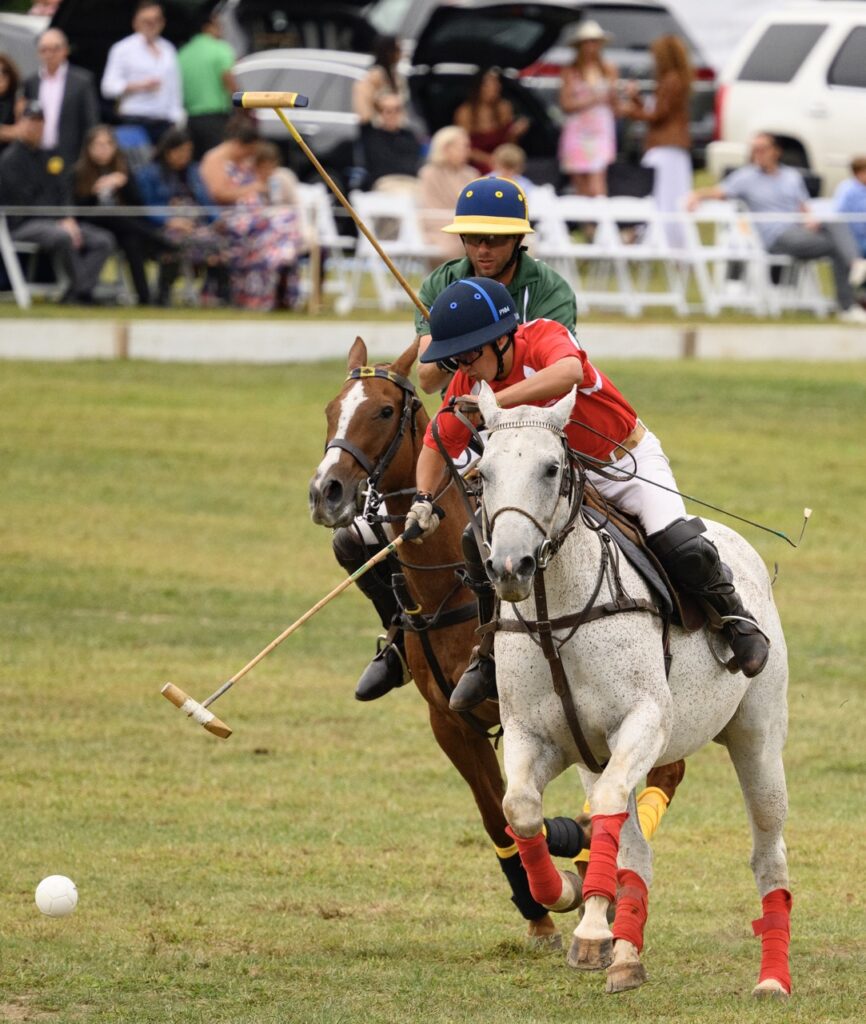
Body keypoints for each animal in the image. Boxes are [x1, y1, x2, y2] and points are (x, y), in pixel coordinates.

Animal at [472, 381, 792, 997]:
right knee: (632, 845)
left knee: (767, 849)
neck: (553, 612)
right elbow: (521, 808)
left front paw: (591, 924)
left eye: (551, 468)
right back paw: (624, 953)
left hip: (758, 738)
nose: (510, 568)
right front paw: (566, 896)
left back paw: (772, 979)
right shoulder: (538, 736)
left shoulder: (645, 721)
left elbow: (606, 808)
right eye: (483, 473)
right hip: (595, 755)